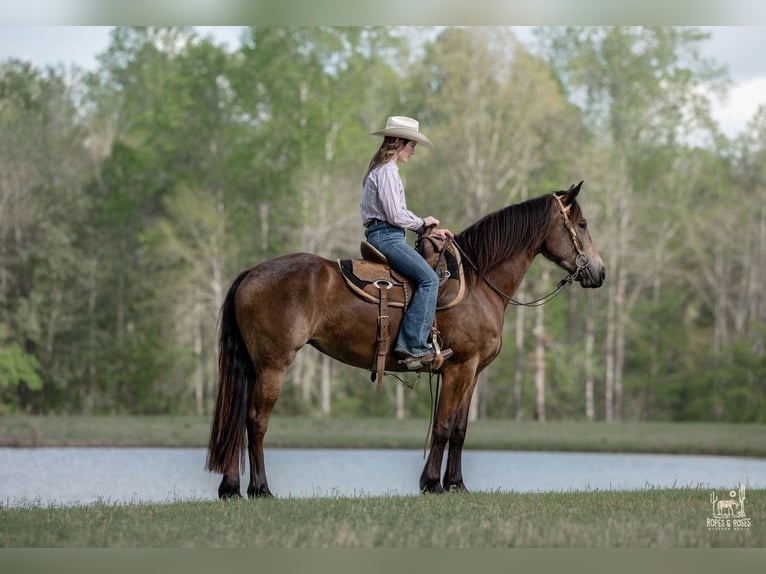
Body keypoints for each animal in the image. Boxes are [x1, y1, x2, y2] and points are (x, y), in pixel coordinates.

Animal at [206, 181, 605, 497]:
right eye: (582, 224)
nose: (600, 272)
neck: (480, 282)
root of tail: (251, 272)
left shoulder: (472, 372)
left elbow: (460, 429)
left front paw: (456, 484)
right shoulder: (458, 368)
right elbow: (443, 426)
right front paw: (432, 484)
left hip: (253, 365)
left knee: (238, 418)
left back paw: (231, 488)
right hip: (273, 364)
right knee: (256, 420)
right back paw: (260, 489)